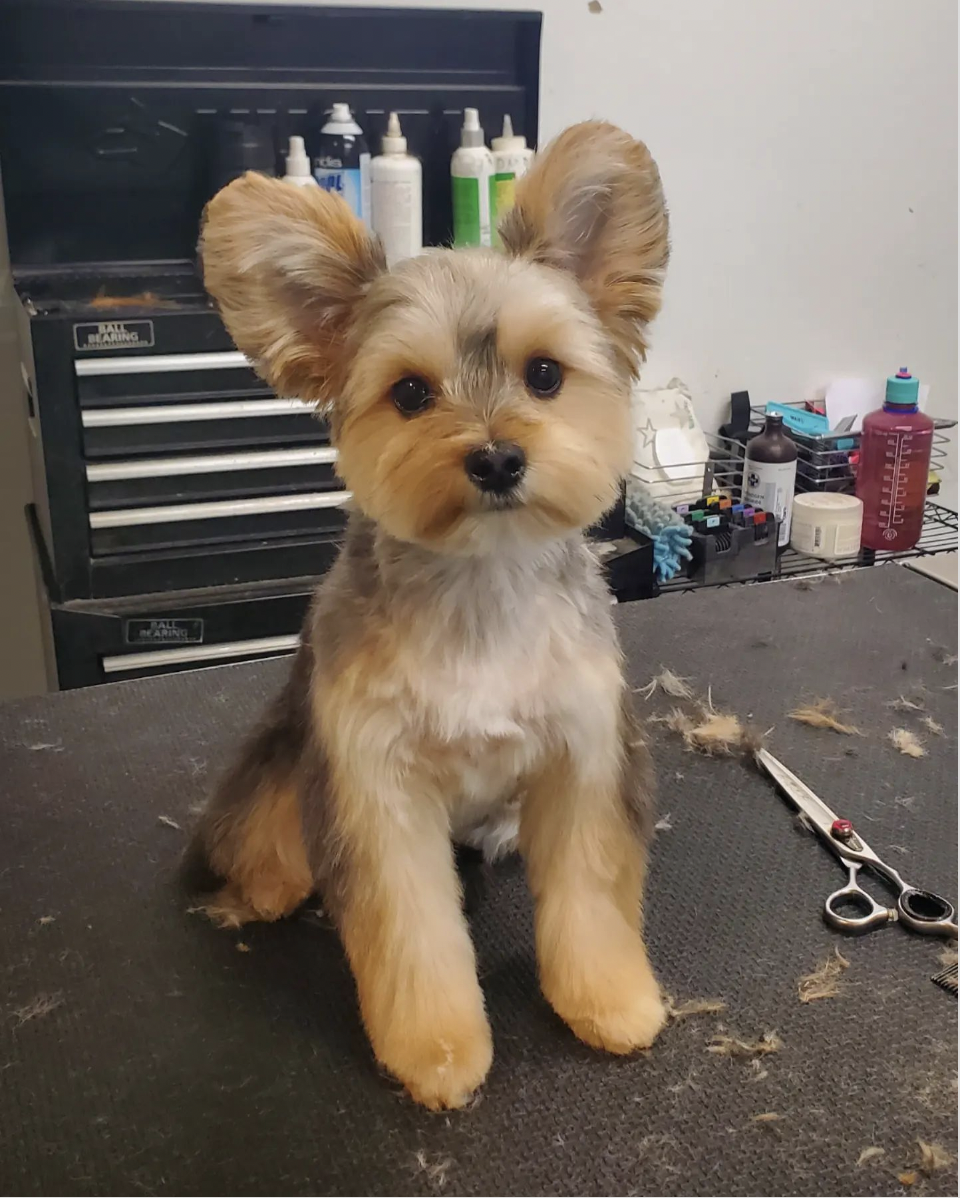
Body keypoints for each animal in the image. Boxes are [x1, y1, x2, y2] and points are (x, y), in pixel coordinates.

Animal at [194, 123, 671, 1111]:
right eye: (411, 393)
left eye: (544, 374)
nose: (494, 458)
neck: (479, 592)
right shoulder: (373, 784)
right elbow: (408, 929)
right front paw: (437, 1051)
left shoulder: (586, 754)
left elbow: (593, 895)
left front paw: (610, 1002)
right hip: (285, 770)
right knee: (260, 844)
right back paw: (261, 884)